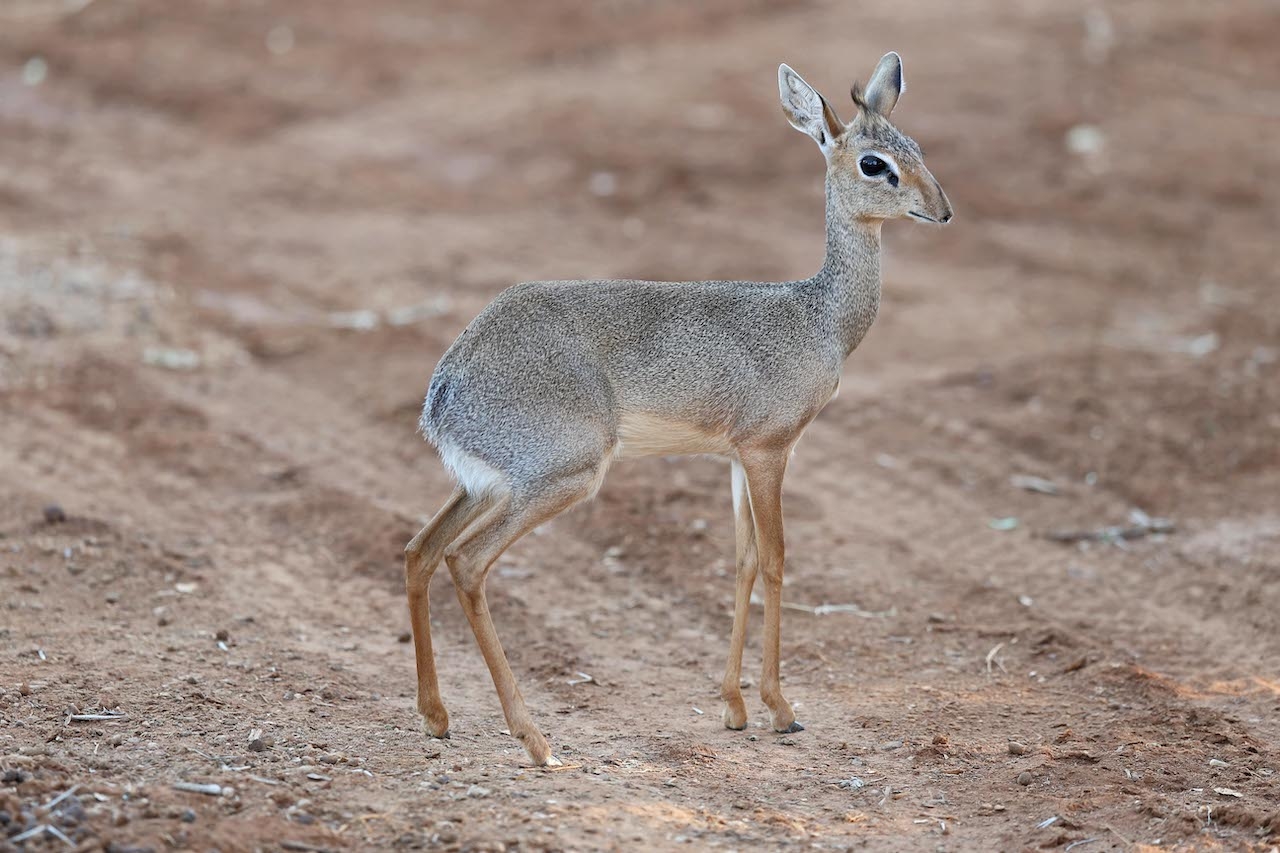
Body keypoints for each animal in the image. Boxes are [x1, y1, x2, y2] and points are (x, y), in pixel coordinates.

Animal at [405, 52, 952, 766]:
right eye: (873, 162)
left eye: (915, 147)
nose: (941, 209)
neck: (818, 318)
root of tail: (447, 384)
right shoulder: (770, 450)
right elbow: (775, 561)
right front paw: (780, 709)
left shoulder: (736, 459)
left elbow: (742, 561)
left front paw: (735, 707)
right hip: (563, 479)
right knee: (466, 563)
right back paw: (535, 738)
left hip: (485, 486)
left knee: (419, 551)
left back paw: (436, 716)